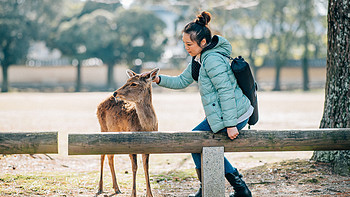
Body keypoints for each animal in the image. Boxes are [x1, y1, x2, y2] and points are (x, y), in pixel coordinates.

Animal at [97, 67, 160, 195]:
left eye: (134, 83)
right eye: (127, 80)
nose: (115, 93)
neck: (145, 128)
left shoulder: (148, 146)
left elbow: (146, 166)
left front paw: (149, 194)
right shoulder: (131, 144)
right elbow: (134, 167)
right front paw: (133, 194)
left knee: (110, 156)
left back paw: (116, 188)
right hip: (103, 128)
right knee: (103, 156)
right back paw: (100, 188)